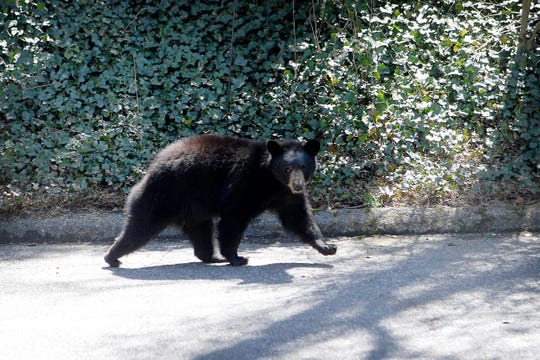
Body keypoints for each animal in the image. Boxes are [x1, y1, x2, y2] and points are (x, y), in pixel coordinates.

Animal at [103, 134, 336, 266]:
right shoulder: (243, 185)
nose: (298, 185)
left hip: (194, 208)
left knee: (201, 233)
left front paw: (327, 247)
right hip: (164, 195)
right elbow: (234, 219)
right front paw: (237, 257)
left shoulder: (286, 196)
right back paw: (112, 256)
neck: (271, 179)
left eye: (304, 166)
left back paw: (211, 257)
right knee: (140, 227)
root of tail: (151, 169)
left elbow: (298, 217)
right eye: (287, 168)